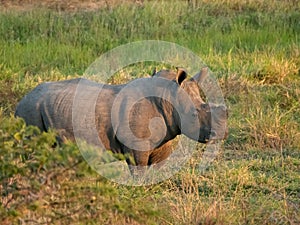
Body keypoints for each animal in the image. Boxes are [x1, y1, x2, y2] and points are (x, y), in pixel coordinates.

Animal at [15, 67, 229, 169]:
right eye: (194, 114)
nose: (222, 134)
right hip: (30, 111)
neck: (168, 98)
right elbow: (139, 172)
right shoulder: (136, 147)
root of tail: (21, 100)